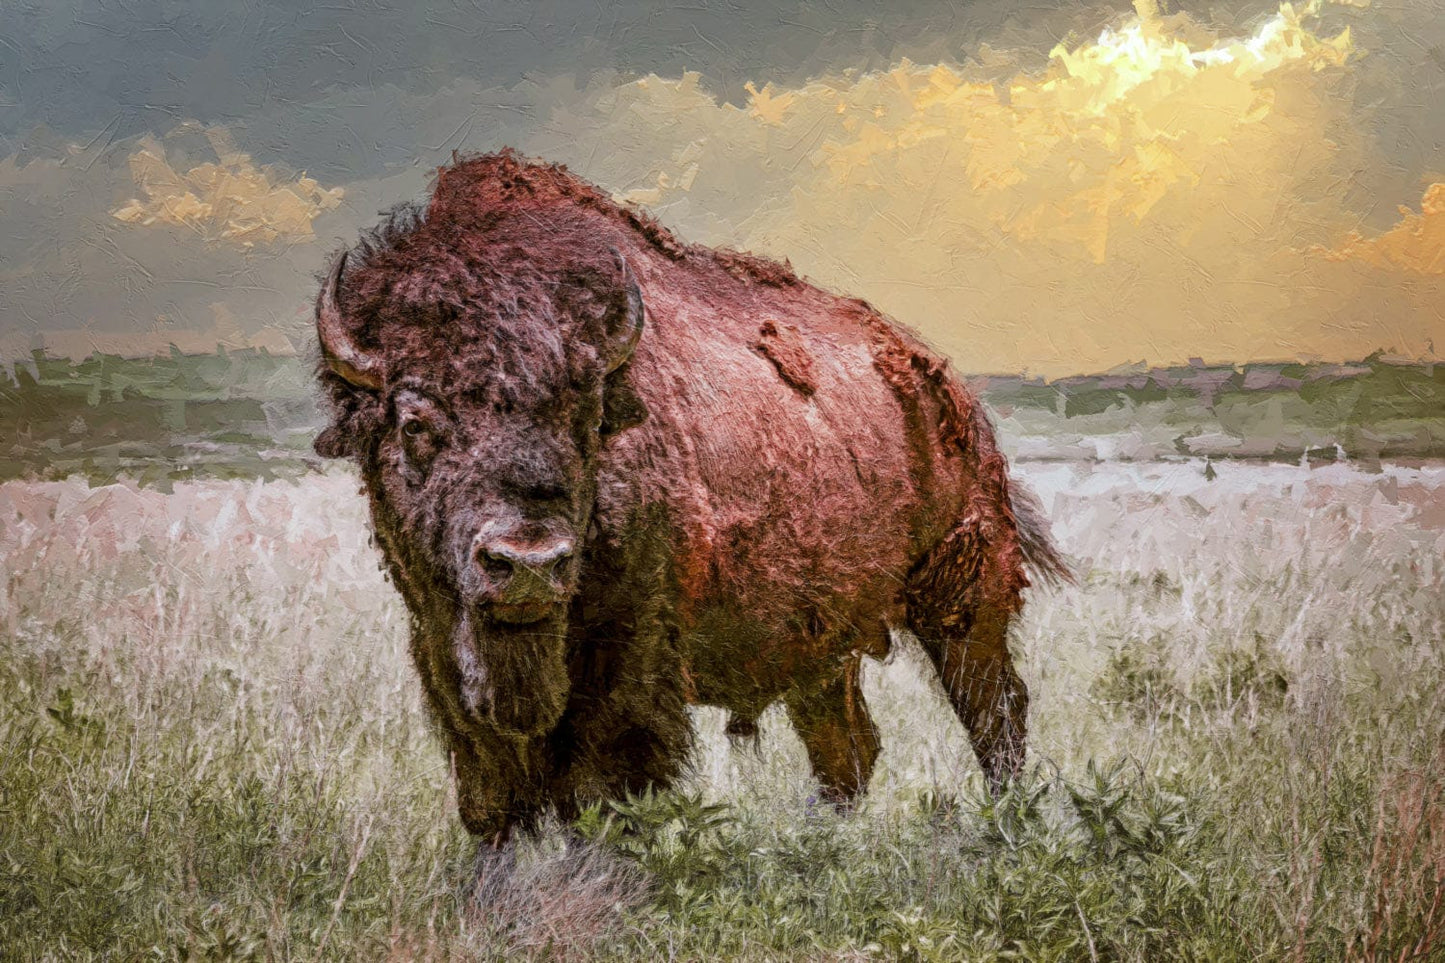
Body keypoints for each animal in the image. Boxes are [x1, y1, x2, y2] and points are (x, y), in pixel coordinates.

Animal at [314, 150, 1067, 846]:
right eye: (414, 423)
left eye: (588, 416)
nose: (527, 564)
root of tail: (950, 389)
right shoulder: (442, 647)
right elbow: (492, 797)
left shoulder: (629, 661)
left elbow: (602, 790)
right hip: (824, 642)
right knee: (849, 746)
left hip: (962, 599)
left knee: (994, 712)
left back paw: (1005, 828)